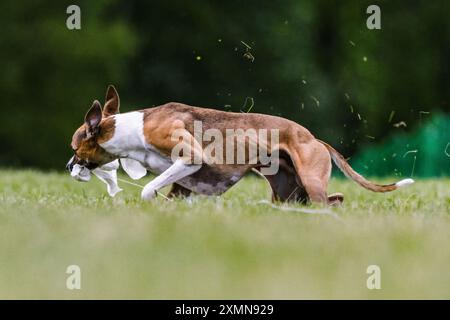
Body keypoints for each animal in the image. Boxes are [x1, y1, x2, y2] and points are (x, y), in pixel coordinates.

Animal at [65, 85, 414, 205]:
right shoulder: (183, 185)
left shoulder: (190, 158)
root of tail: (315, 138)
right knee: (333, 199)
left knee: (330, 202)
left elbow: (149, 189)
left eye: (74, 148)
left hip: (311, 182)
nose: (69, 166)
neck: (130, 130)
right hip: (288, 191)